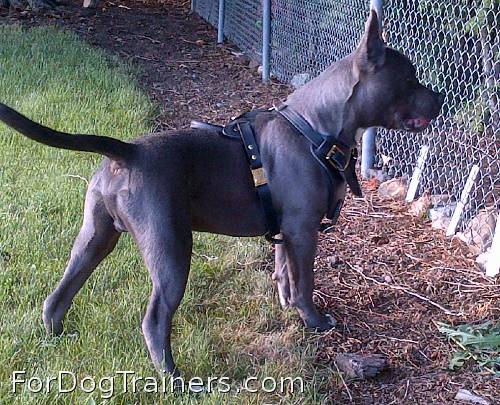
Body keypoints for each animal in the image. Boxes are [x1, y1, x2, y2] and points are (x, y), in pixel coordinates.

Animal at [0, 10, 442, 376]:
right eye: (409, 78)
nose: (439, 96)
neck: (314, 128)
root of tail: (126, 152)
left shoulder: (286, 231)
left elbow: (284, 273)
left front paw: (286, 306)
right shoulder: (303, 230)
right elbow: (305, 282)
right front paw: (314, 322)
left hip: (95, 237)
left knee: (59, 294)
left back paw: (57, 338)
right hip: (171, 249)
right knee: (155, 318)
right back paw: (173, 377)